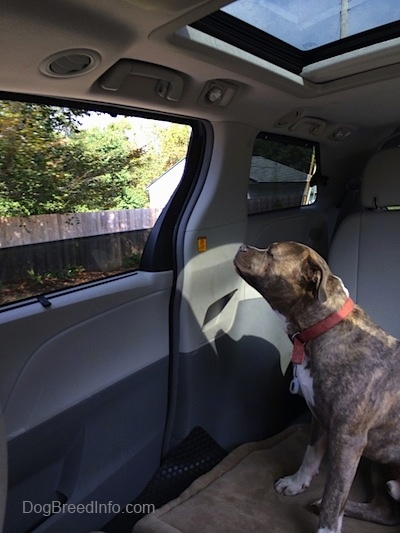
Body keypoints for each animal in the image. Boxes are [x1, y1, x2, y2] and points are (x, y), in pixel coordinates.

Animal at [233, 242, 400, 532]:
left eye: (272, 253)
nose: (242, 246)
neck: (323, 328)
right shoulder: (319, 416)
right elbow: (310, 454)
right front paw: (296, 483)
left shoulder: (348, 440)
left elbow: (335, 493)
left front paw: (327, 527)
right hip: (380, 464)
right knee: (385, 511)